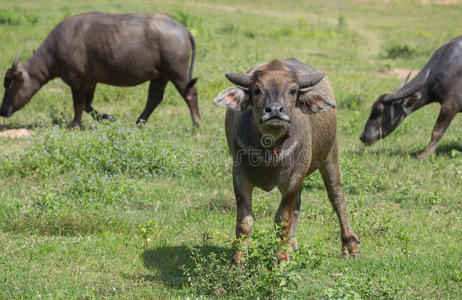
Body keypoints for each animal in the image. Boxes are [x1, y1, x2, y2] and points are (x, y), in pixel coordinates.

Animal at [1, 12, 200, 127]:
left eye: (10, 86)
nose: (2, 110)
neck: (55, 50)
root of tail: (183, 29)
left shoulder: (77, 81)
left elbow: (79, 104)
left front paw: (74, 126)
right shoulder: (91, 81)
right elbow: (87, 105)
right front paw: (110, 118)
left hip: (177, 72)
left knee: (190, 93)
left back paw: (196, 124)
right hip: (160, 76)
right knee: (154, 98)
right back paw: (138, 123)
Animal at [214, 59, 360, 264]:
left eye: (292, 91)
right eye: (256, 90)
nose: (275, 110)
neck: (269, 149)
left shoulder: (294, 177)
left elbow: (282, 220)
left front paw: (280, 260)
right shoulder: (239, 176)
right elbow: (244, 223)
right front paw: (237, 262)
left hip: (331, 155)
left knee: (336, 197)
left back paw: (350, 245)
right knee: (298, 205)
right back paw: (291, 244)